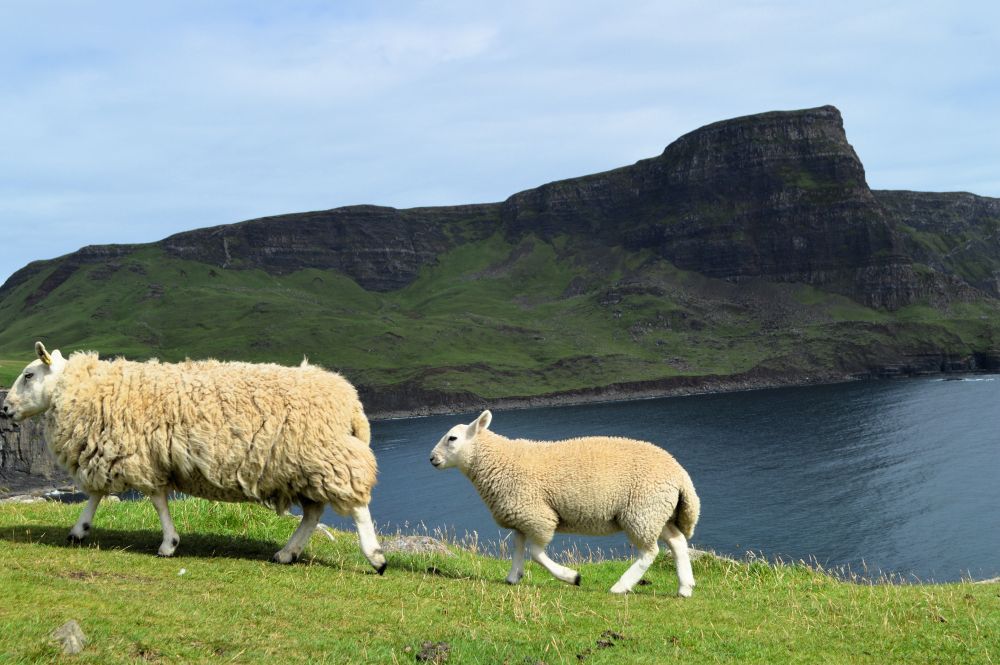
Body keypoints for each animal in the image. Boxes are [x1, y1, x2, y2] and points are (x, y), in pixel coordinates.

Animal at [0, 341, 386, 573]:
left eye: (28, 374)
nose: (4, 409)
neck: (85, 389)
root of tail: (351, 400)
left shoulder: (134, 455)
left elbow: (154, 501)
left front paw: (168, 544)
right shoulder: (118, 451)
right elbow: (97, 494)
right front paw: (79, 530)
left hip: (328, 458)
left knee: (356, 506)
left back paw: (376, 557)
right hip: (305, 469)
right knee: (313, 513)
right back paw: (287, 553)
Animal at [429, 410, 700, 596]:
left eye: (452, 438)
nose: (432, 458)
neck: (499, 460)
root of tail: (680, 474)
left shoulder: (538, 516)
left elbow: (536, 553)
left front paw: (572, 577)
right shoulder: (520, 515)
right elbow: (518, 547)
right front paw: (513, 576)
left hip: (642, 511)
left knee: (650, 552)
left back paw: (621, 586)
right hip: (657, 511)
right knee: (677, 541)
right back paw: (685, 588)